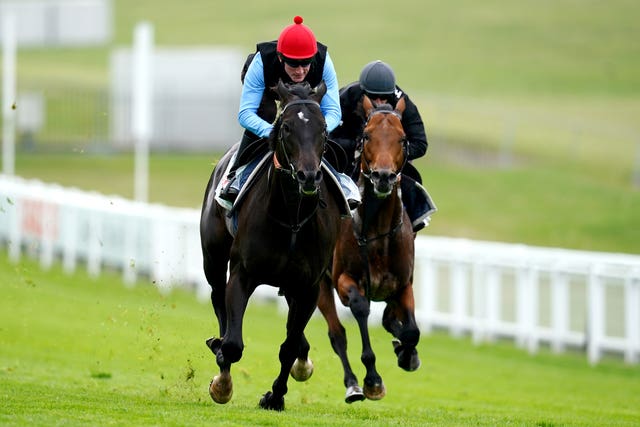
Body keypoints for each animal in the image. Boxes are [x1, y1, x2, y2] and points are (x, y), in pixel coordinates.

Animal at [200, 80, 342, 412]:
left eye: (323, 128)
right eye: (287, 127)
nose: (308, 175)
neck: (291, 217)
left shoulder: (307, 286)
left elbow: (289, 347)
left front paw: (275, 396)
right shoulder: (243, 274)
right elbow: (233, 343)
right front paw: (222, 383)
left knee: (295, 336)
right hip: (213, 258)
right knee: (217, 297)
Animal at [318, 96, 420, 404]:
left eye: (402, 138)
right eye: (366, 136)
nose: (383, 176)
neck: (377, 231)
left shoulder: (403, 284)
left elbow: (411, 331)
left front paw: (406, 354)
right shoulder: (344, 280)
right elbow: (361, 308)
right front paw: (373, 380)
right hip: (320, 283)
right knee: (337, 334)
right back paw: (353, 384)